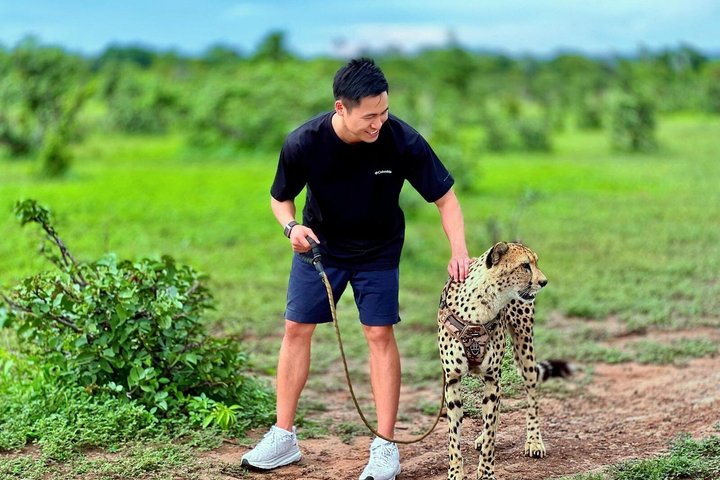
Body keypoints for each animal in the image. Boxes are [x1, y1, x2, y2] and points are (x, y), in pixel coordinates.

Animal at [437, 241, 571, 480]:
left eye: (535, 263)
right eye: (525, 265)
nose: (544, 281)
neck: (481, 305)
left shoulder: (493, 377)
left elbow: (491, 429)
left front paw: (486, 472)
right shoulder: (452, 380)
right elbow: (454, 435)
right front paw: (455, 472)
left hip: (524, 347)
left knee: (532, 396)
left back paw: (534, 441)